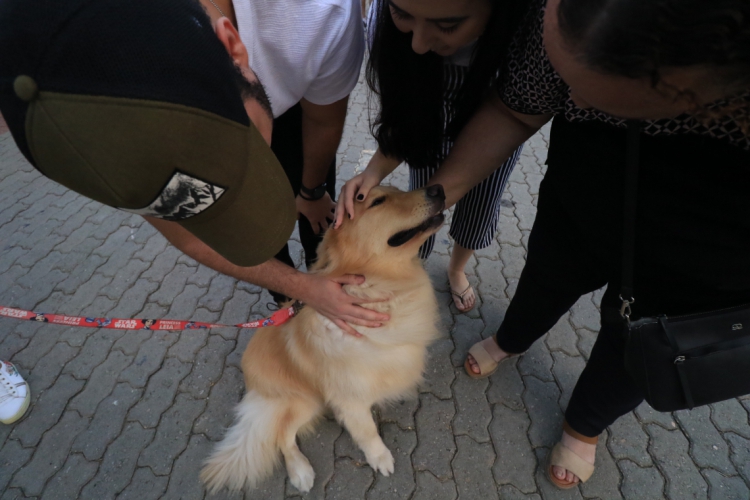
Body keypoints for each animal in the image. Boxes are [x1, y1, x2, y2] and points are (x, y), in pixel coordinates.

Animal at [201, 184, 446, 493]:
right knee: (282, 435)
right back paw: (300, 471)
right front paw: (379, 457)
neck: (375, 289)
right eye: (378, 201)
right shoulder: (350, 397)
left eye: (398, 189)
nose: (438, 188)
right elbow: (367, 431)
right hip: (304, 400)